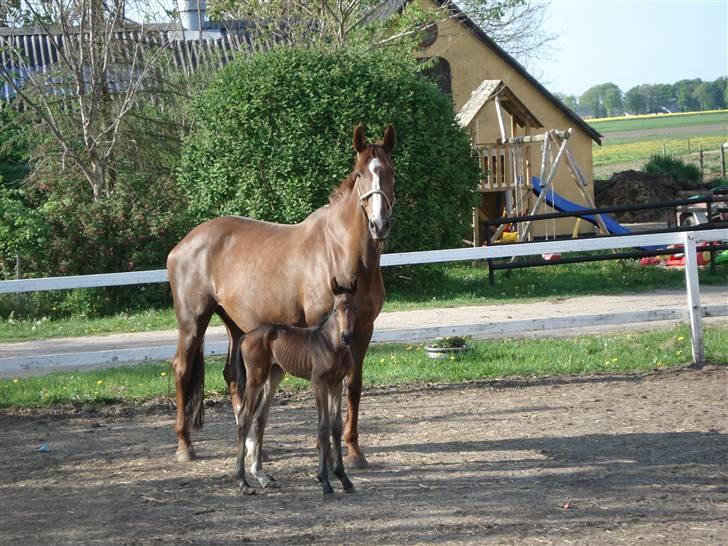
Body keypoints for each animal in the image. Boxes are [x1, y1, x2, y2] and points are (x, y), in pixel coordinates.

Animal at [236, 276, 358, 492]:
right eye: (336, 309)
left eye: (354, 307)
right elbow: (323, 426)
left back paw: (262, 477)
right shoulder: (319, 383)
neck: (332, 345)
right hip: (255, 378)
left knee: (260, 418)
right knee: (244, 417)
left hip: (274, 376)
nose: (347, 336)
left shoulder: (336, 384)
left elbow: (336, 426)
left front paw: (344, 478)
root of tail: (246, 335)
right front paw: (324, 481)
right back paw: (243, 482)